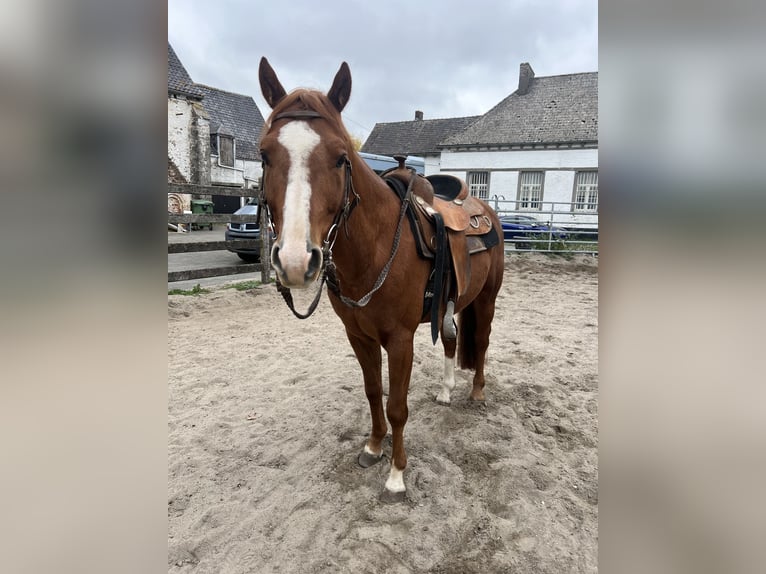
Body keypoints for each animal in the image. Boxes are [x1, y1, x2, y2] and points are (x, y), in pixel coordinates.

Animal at [257, 57, 504, 502]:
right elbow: (374, 392)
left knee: (481, 341)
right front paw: (373, 447)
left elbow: (398, 406)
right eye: (264, 155)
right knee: (454, 339)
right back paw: (446, 390)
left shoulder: (401, 340)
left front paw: (396, 475)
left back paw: (476, 391)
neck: (373, 252)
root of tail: (484, 210)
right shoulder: (359, 336)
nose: (296, 261)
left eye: (341, 158)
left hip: (487, 299)